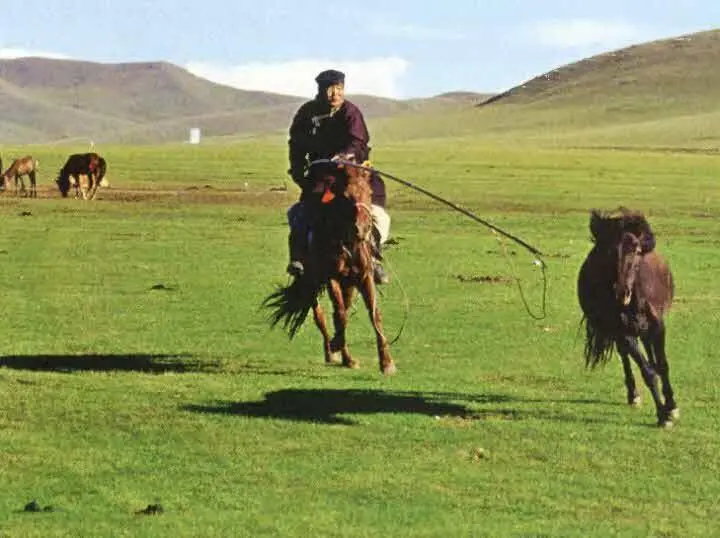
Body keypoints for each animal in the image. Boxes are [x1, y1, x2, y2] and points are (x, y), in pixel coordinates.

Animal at [264, 161, 396, 374]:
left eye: (368, 193)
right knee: (322, 316)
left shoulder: (364, 276)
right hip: (311, 283)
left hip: (348, 283)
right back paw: (333, 353)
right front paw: (336, 345)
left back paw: (345, 356)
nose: (362, 229)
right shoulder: (331, 276)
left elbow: (373, 314)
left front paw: (387, 363)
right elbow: (340, 315)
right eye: (346, 196)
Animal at [576, 207, 676, 426]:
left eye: (637, 251)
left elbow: (662, 366)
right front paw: (662, 415)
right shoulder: (622, 332)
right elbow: (647, 372)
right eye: (609, 252)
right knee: (626, 357)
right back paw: (633, 395)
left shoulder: (658, 327)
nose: (621, 292)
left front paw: (672, 407)